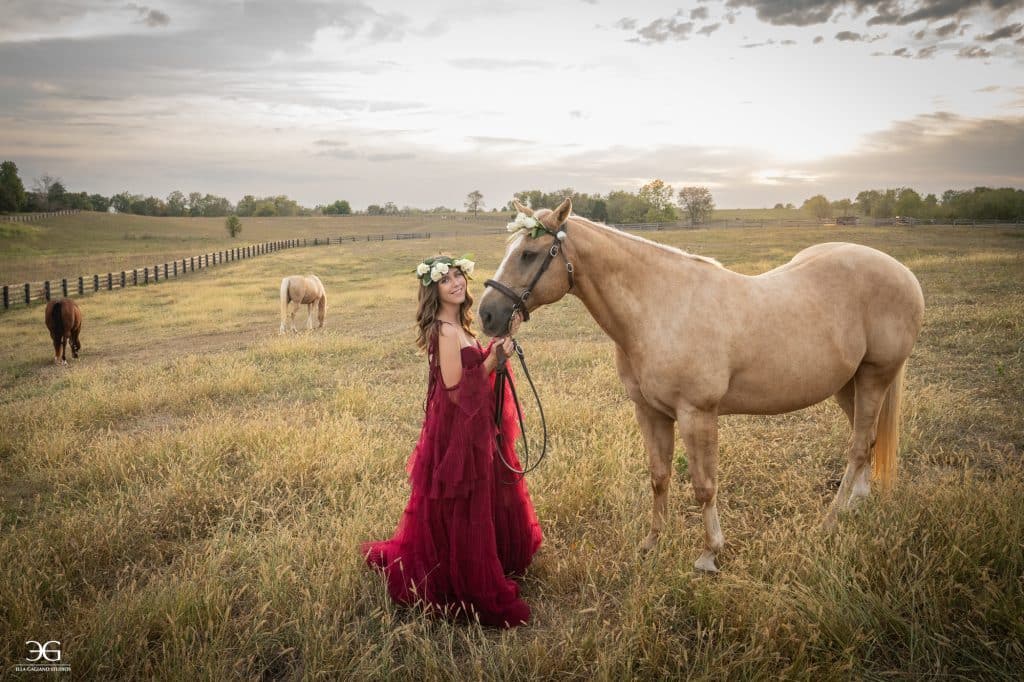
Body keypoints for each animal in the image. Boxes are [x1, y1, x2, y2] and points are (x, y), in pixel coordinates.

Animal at [479, 198, 925, 573]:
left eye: (530, 254)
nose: (487, 314)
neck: (660, 308)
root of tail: (904, 274)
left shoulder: (698, 414)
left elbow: (704, 487)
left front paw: (710, 553)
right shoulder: (651, 412)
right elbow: (659, 477)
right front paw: (652, 544)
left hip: (875, 376)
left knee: (857, 447)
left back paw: (829, 521)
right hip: (849, 385)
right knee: (868, 442)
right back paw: (855, 507)